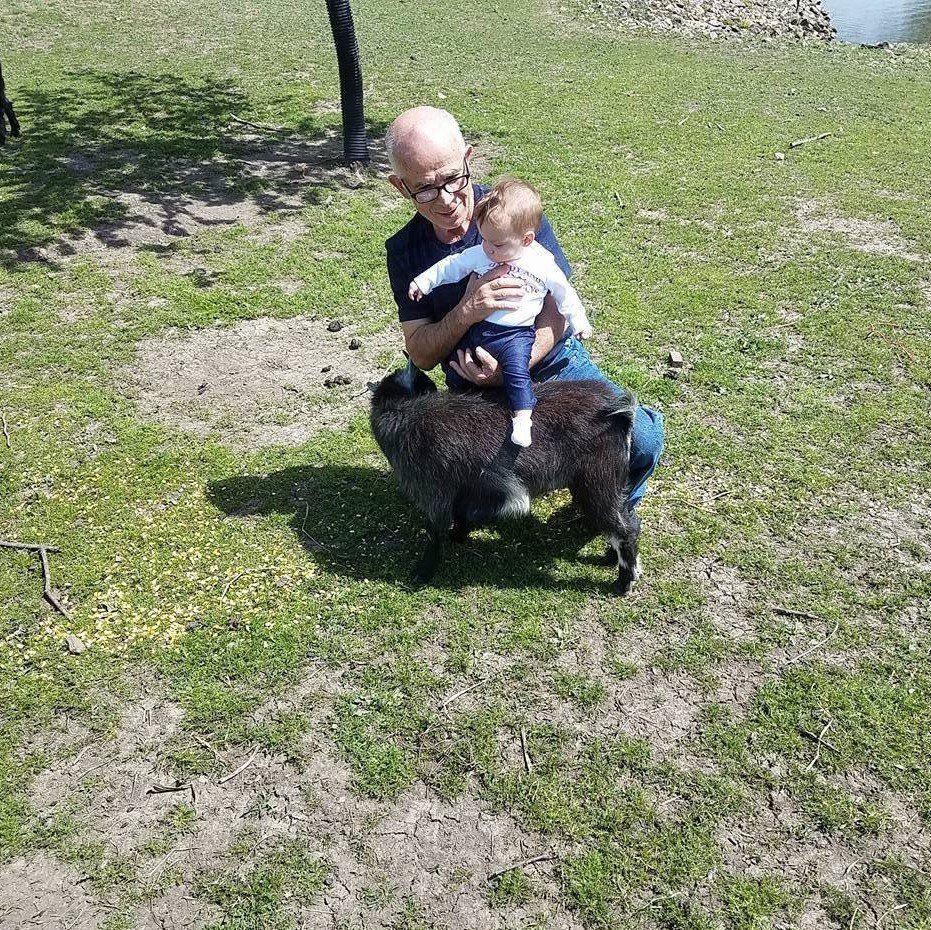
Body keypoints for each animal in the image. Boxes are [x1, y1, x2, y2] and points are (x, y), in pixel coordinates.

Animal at [369, 362, 642, 594]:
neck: (406, 413)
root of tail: (618, 412)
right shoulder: (464, 491)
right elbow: (461, 515)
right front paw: (459, 536)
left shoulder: (435, 494)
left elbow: (434, 534)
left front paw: (422, 572)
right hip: (609, 484)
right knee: (629, 519)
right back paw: (610, 558)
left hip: (597, 484)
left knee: (624, 529)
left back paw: (623, 582)